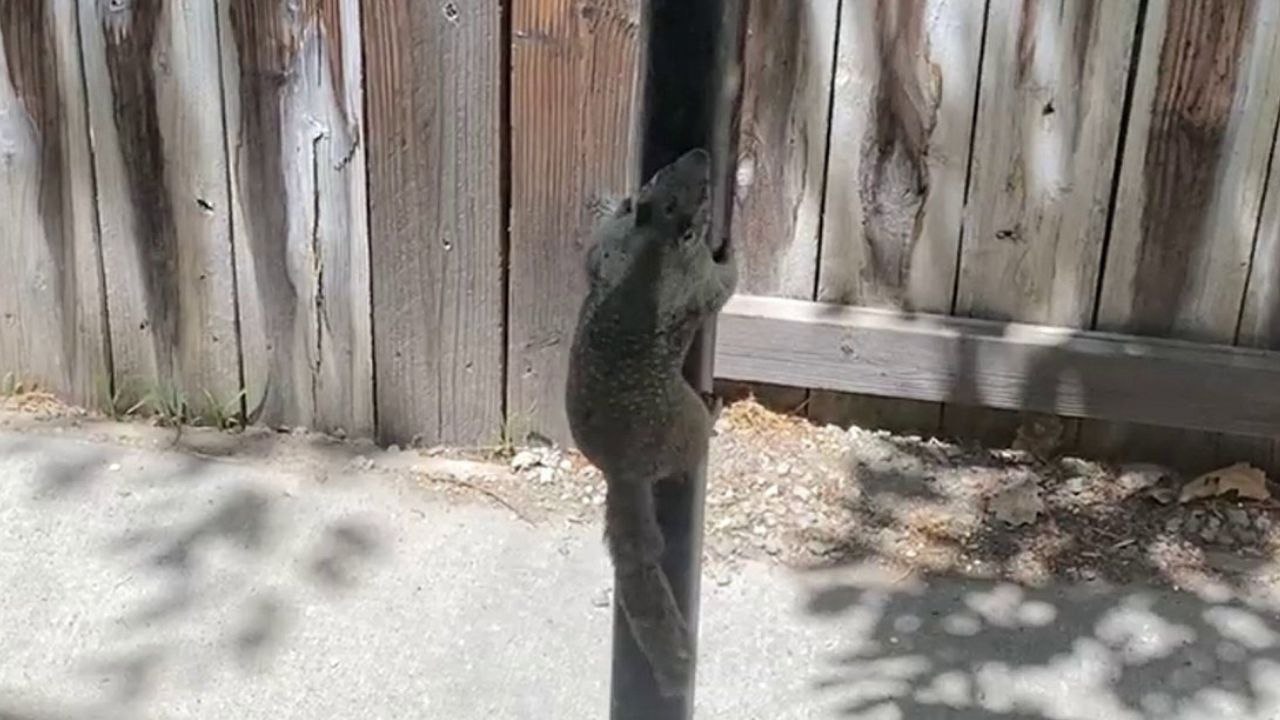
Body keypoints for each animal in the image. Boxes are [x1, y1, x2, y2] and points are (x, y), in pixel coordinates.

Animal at [564, 148, 737, 697]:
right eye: (701, 195)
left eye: (662, 173)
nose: (700, 155)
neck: (653, 240)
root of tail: (624, 471)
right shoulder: (696, 280)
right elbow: (723, 286)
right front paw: (732, 251)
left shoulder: (609, 247)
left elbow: (592, 252)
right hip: (685, 423)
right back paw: (714, 413)